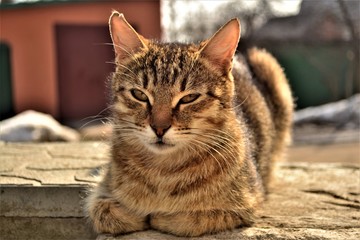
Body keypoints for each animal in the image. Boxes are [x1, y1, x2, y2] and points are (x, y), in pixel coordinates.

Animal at [86, 11, 294, 236]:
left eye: (189, 98)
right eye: (139, 94)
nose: (159, 128)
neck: (163, 172)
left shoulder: (248, 202)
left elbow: (192, 218)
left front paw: (160, 216)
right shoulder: (101, 190)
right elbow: (103, 212)